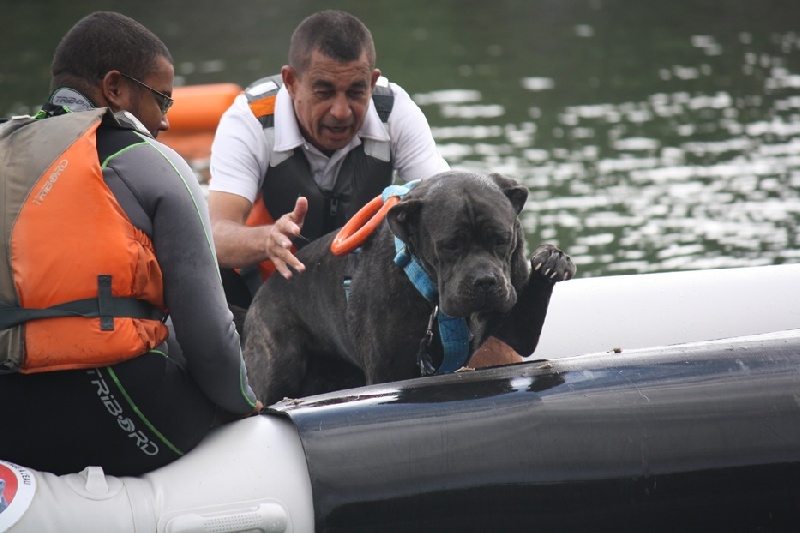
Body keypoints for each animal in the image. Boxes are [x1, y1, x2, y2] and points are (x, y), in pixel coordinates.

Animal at [244, 172, 576, 406]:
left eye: (501, 239)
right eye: (450, 245)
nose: (484, 281)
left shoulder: (519, 327)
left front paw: (551, 259)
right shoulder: (388, 373)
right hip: (279, 364)